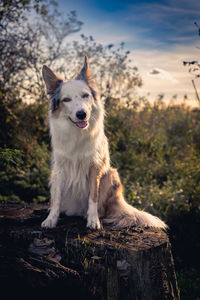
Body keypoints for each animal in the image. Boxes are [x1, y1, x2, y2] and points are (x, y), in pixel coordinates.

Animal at [41, 56, 166, 230]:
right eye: (66, 100)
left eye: (85, 95)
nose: (81, 114)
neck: (77, 133)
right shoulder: (59, 169)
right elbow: (57, 197)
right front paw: (52, 218)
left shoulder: (95, 167)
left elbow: (93, 197)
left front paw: (93, 220)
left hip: (111, 174)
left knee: (103, 208)